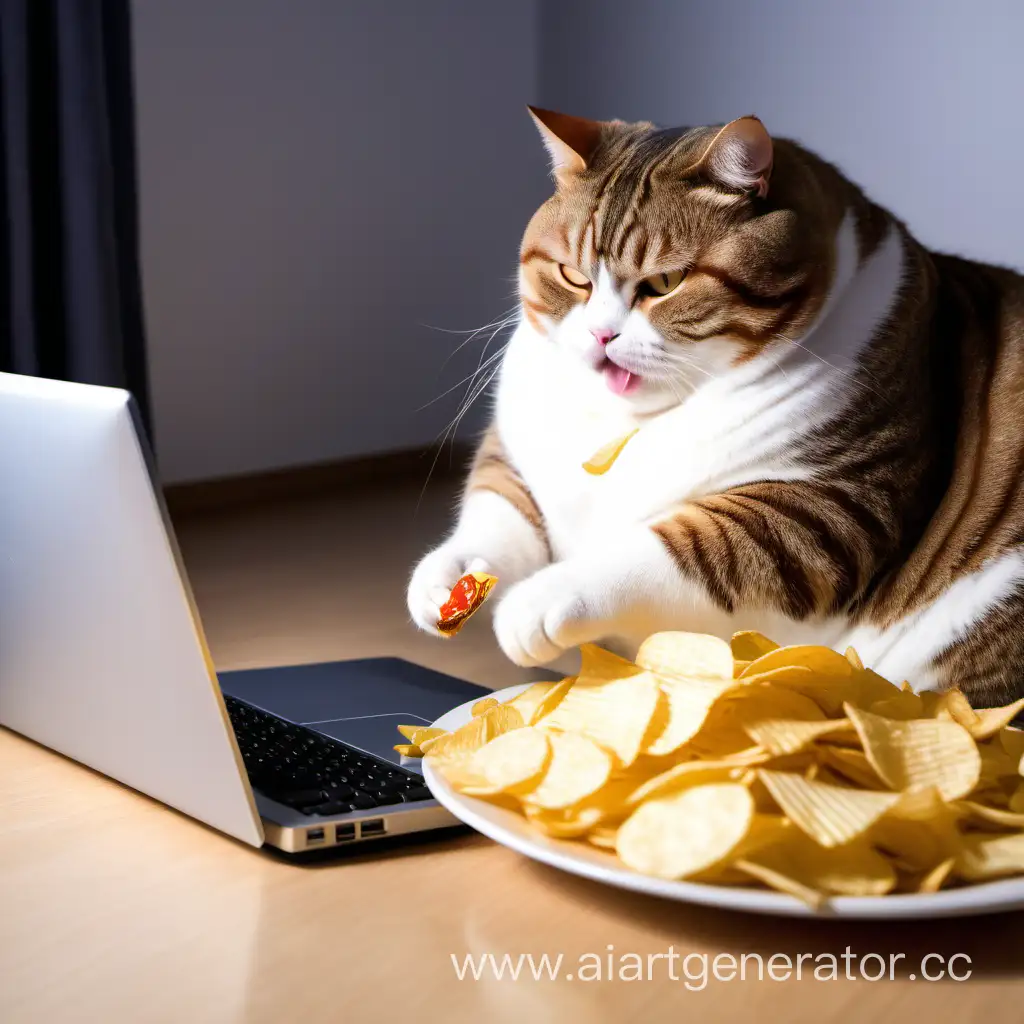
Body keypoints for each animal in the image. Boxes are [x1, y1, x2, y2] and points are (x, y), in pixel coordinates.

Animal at [405, 110, 1024, 704]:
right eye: (573, 276)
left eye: (665, 282)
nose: (601, 335)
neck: (628, 425)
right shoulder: (516, 456)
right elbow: (497, 512)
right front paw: (445, 580)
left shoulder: (837, 508)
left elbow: (672, 549)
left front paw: (540, 601)